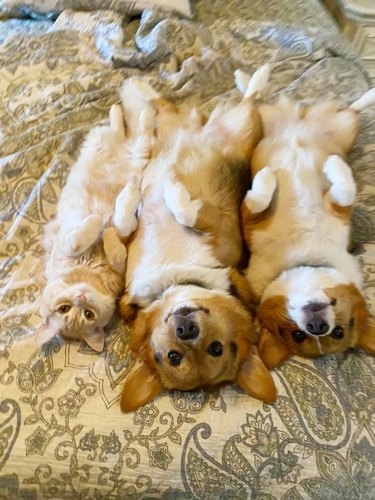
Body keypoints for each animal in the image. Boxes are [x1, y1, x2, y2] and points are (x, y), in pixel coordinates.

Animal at [118, 68, 280, 412]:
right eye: (173, 357)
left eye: (216, 349)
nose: (185, 329)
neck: (177, 277)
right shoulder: (129, 243)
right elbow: (125, 218)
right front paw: (139, 192)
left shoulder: (220, 228)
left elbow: (188, 211)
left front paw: (171, 191)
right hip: (190, 125)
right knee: (161, 105)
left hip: (247, 125)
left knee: (249, 100)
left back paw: (255, 77)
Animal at [239, 81, 375, 368]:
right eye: (298, 335)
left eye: (339, 332)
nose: (317, 326)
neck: (303, 256)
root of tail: (299, 118)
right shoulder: (251, 223)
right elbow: (256, 199)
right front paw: (266, 178)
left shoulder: (338, 212)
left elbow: (345, 189)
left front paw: (335, 165)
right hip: (262, 121)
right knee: (254, 101)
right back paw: (252, 79)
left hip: (347, 127)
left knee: (354, 108)